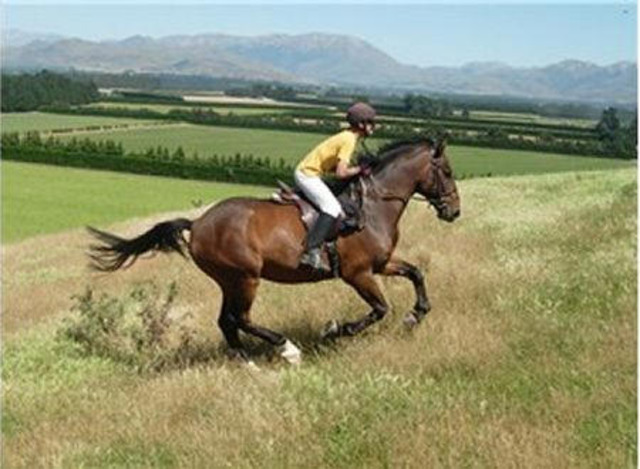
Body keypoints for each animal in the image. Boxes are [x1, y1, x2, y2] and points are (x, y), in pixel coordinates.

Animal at [88, 138, 460, 365]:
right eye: (446, 171)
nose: (454, 211)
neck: (372, 206)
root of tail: (198, 222)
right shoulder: (358, 273)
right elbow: (380, 308)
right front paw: (334, 330)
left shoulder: (381, 264)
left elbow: (416, 273)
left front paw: (416, 315)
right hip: (245, 277)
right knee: (241, 319)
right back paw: (287, 349)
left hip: (230, 280)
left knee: (227, 322)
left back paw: (248, 363)